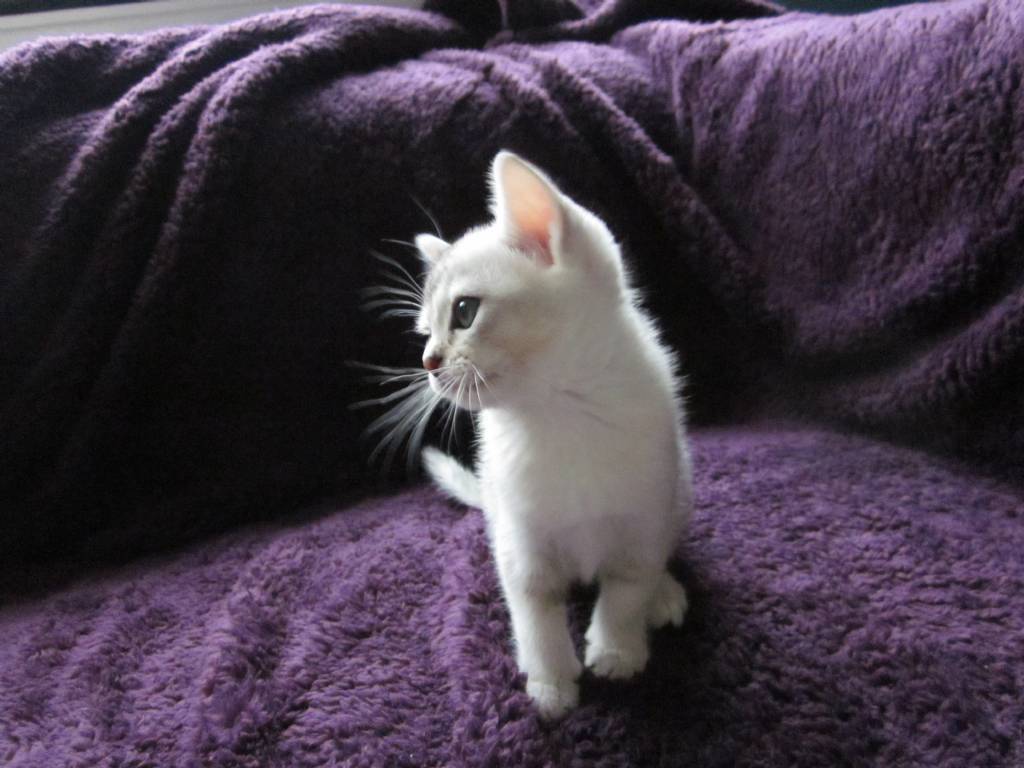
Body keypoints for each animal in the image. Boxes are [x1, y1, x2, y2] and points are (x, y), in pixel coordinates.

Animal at [411, 151, 692, 720]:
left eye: (464, 312)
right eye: (424, 332)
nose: (428, 362)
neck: (558, 414)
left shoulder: (645, 516)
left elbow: (627, 588)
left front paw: (617, 649)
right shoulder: (520, 541)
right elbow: (533, 611)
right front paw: (551, 683)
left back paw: (665, 594)